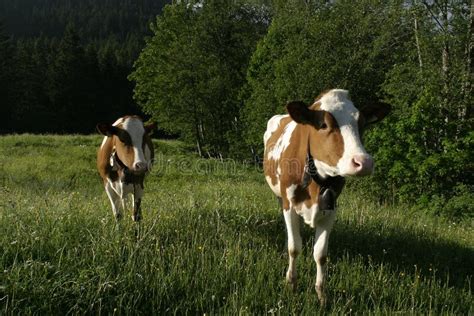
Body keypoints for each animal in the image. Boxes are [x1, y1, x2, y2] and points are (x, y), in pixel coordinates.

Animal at [262, 88, 388, 304]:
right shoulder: (289, 204)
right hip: (280, 196)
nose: (364, 162)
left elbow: (320, 254)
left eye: (362, 124)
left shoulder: (330, 208)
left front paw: (322, 295)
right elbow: (294, 247)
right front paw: (291, 284)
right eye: (323, 124)